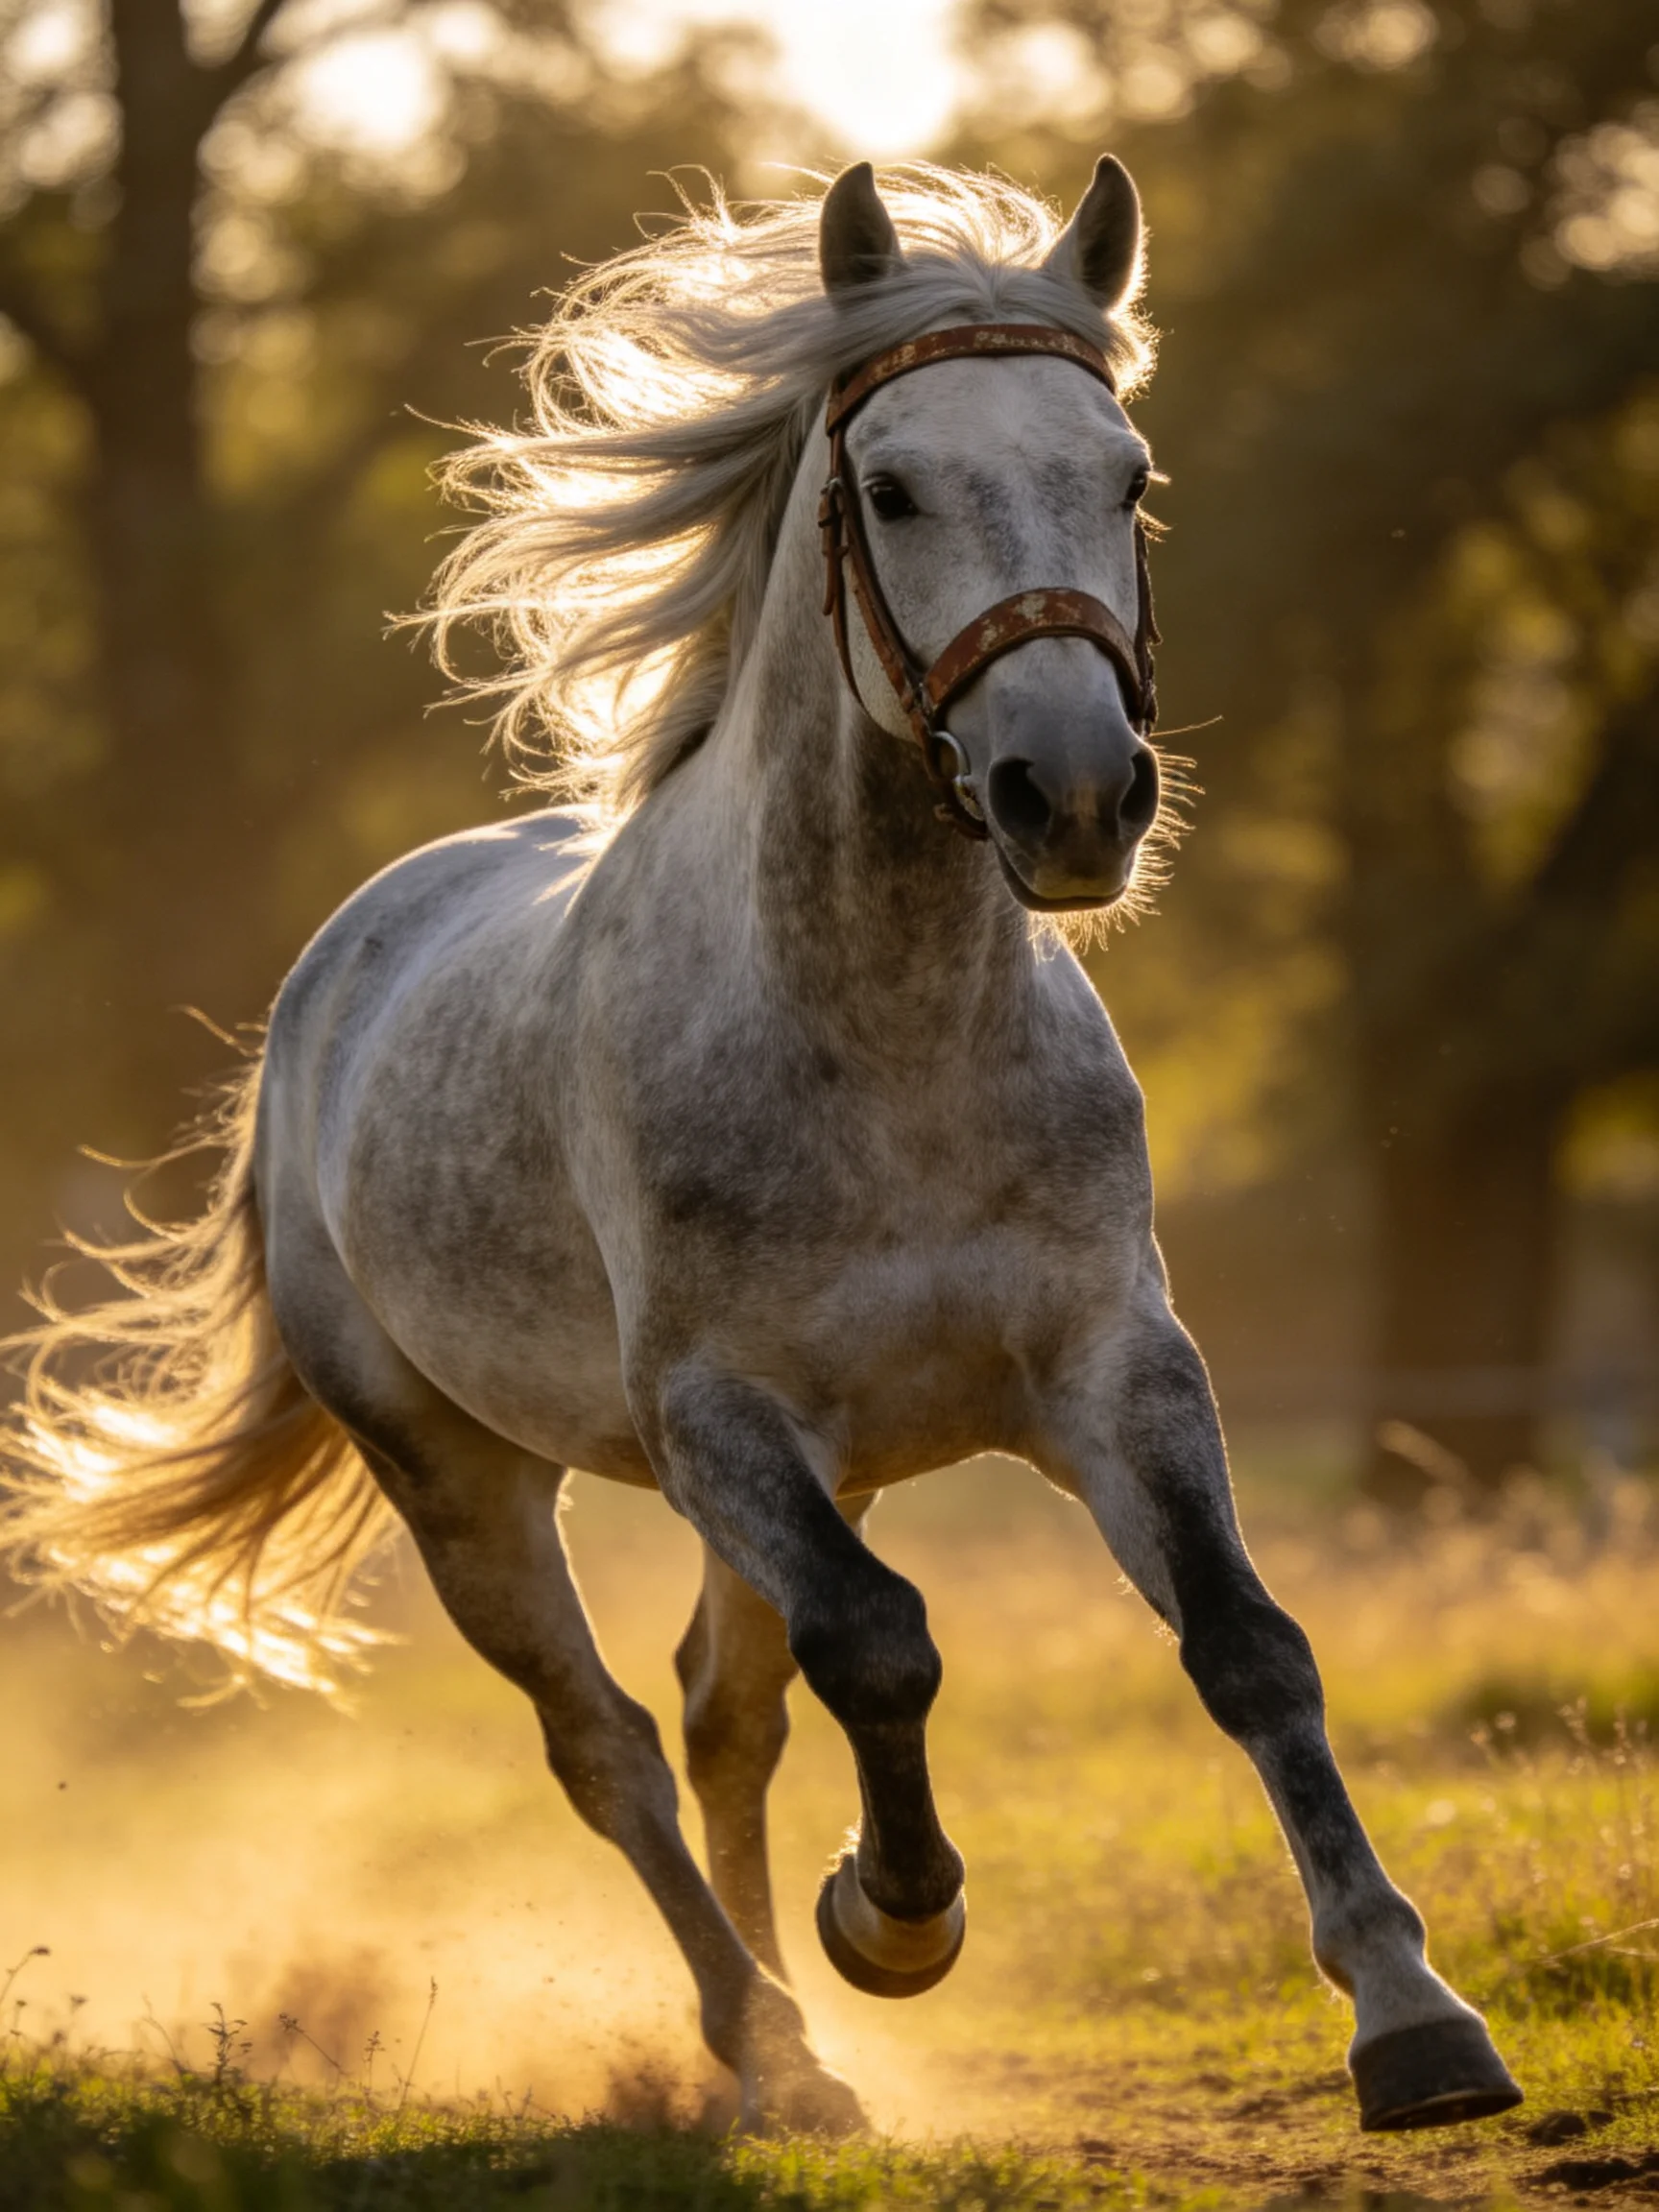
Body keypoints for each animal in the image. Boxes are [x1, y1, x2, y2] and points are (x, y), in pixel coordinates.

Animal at [3, 158, 1522, 2137]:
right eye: (887, 490)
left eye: (1127, 477)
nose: (1074, 797)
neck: (888, 1047)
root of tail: (331, 979)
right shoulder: (719, 1422)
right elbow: (883, 1642)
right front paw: (892, 1915)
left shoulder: (1112, 1369)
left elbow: (1243, 1643)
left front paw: (1413, 2015)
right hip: (463, 1474)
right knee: (611, 1742)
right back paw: (772, 2048)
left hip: (814, 1470)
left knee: (724, 1708)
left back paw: (786, 2037)